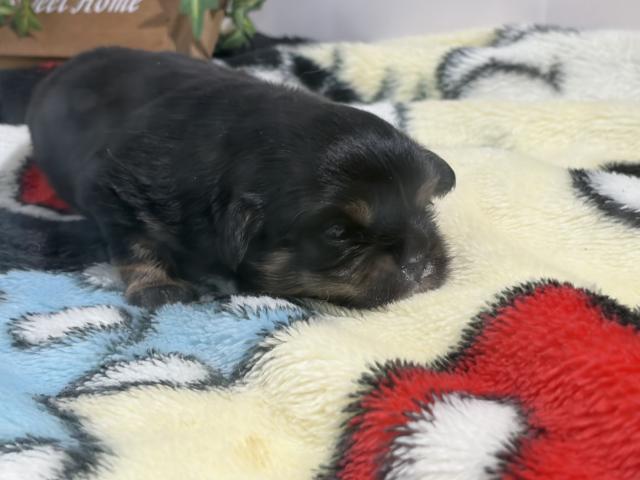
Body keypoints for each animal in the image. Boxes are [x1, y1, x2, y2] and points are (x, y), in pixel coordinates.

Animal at [27, 47, 455, 309]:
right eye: (337, 233)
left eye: (424, 206)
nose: (418, 263)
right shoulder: (115, 191)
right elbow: (137, 244)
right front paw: (158, 289)